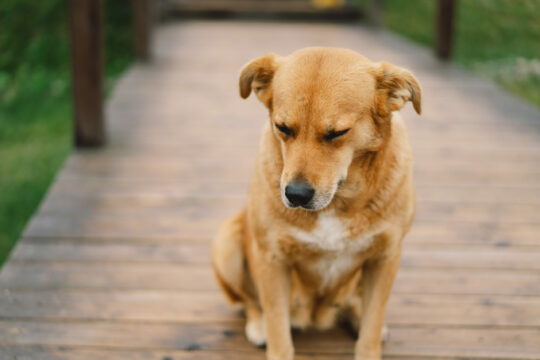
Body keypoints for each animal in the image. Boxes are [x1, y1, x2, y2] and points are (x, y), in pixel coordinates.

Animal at [212, 47, 422, 360]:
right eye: (282, 128)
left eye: (337, 133)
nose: (296, 195)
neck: (337, 201)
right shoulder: (272, 259)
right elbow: (278, 331)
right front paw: (272, 336)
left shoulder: (385, 258)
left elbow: (372, 324)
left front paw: (369, 334)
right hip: (227, 243)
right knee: (250, 302)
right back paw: (259, 326)